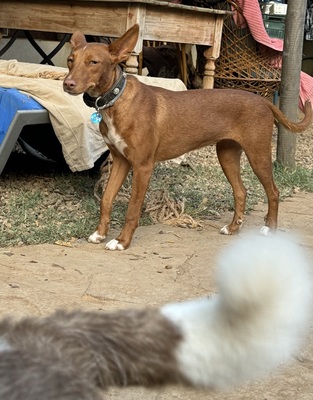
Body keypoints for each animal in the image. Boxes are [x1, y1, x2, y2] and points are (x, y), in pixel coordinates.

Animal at [62, 24, 310, 250]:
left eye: (94, 62)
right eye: (70, 60)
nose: (67, 84)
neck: (116, 100)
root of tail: (263, 101)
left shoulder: (142, 166)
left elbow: (132, 208)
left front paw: (122, 241)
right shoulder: (121, 161)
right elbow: (106, 199)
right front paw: (100, 233)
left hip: (257, 154)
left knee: (274, 192)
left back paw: (269, 229)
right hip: (227, 154)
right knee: (241, 192)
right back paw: (233, 227)